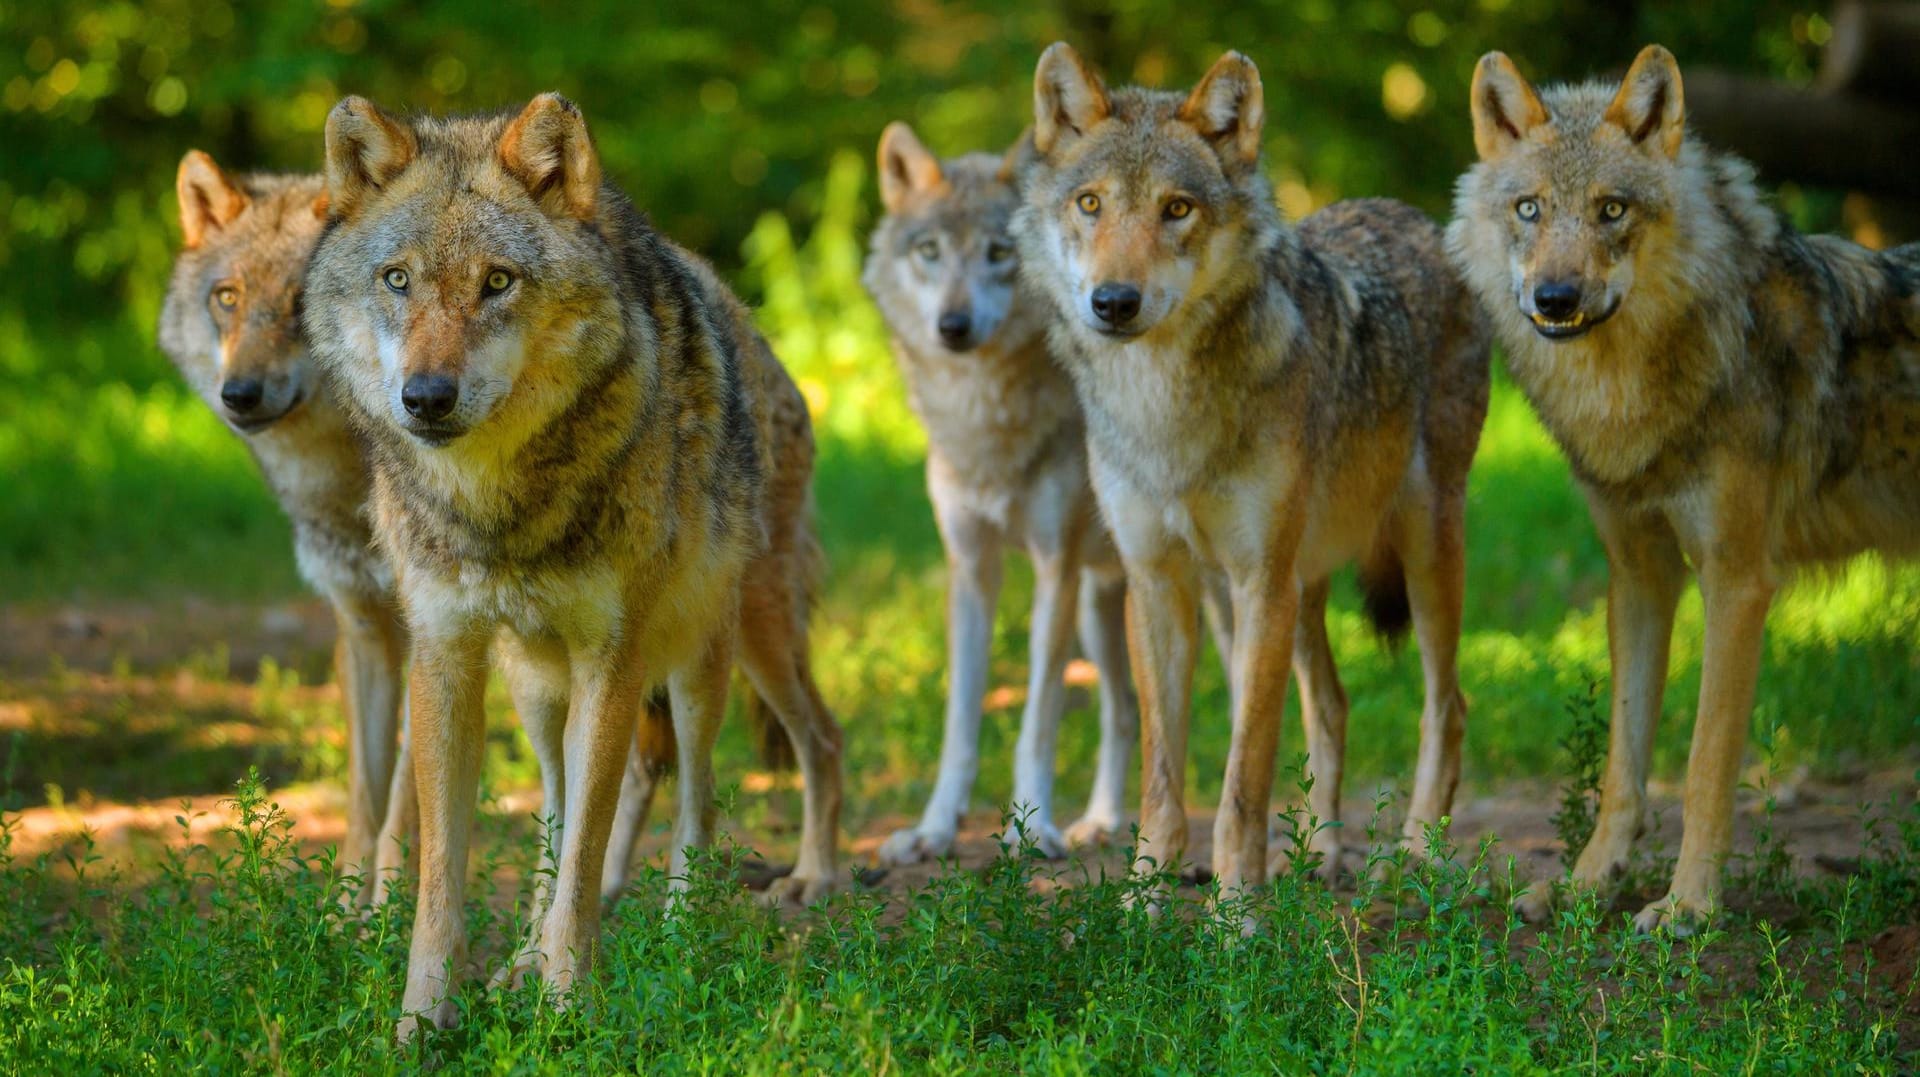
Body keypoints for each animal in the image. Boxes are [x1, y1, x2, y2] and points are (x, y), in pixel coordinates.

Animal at [159, 153, 410, 890]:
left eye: (301, 301)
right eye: (227, 297)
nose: (239, 394)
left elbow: (404, 811)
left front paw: (392, 909)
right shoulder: (363, 631)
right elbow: (363, 804)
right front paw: (351, 911)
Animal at [303, 92, 844, 1036]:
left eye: (497, 282)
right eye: (397, 280)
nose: (426, 398)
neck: (502, 509)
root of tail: (766, 346)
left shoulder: (611, 657)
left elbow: (588, 860)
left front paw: (568, 1010)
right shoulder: (445, 657)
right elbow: (449, 875)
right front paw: (423, 1023)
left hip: (726, 652)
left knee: (762, 766)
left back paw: (741, 911)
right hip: (536, 689)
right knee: (567, 806)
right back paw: (521, 961)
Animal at [867, 123, 1167, 863]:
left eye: (999, 253)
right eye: (929, 250)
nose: (953, 326)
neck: (985, 426)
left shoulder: (1054, 568)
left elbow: (1037, 718)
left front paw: (1030, 829)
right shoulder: (972, 569)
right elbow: (960, 722)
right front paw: (933, 829)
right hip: (1102, 606)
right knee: (1123, 710)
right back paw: (1101, 821)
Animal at [1013, 44, 1489, 898]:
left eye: (1176, 209)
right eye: (1092, 204)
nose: (1113, 301)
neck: (1164, 410)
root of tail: (1413, 217)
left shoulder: (1260, 580)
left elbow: (1243, 779)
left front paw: (1238, 914)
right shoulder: (1157, 580)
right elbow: (1165, 776)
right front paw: (1145, 902)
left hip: (1421, 553)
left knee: (1448, 705)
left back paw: (1415, 856)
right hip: (1287, 590)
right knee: (1332, 704)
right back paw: (1322, 856)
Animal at [1451, 44, 1920, 933]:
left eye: (1611, 210)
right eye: (1530, 208)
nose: (1555, 298)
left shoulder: (1737, 581)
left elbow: (1704, 764)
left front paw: (1689, 905)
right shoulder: (1641, 575)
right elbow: (1623, 765)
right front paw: (1587, 883)